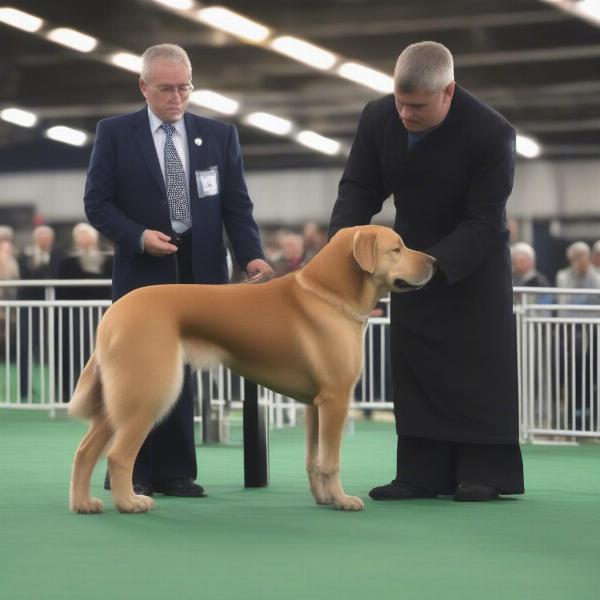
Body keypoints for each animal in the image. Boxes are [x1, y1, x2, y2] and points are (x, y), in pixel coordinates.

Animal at [69, 225, 436, 510]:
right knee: (118, 455)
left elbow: (314, 460)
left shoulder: (315, 405)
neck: (329, 294)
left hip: (118, 399)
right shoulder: (336, 399)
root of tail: (113, 313)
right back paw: (130, 502)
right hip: (148, 394)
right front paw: (343, 501)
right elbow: (331, 461)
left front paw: (324, 499)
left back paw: (84, 504)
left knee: (84, 451)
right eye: (397, 248)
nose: (434, 262)